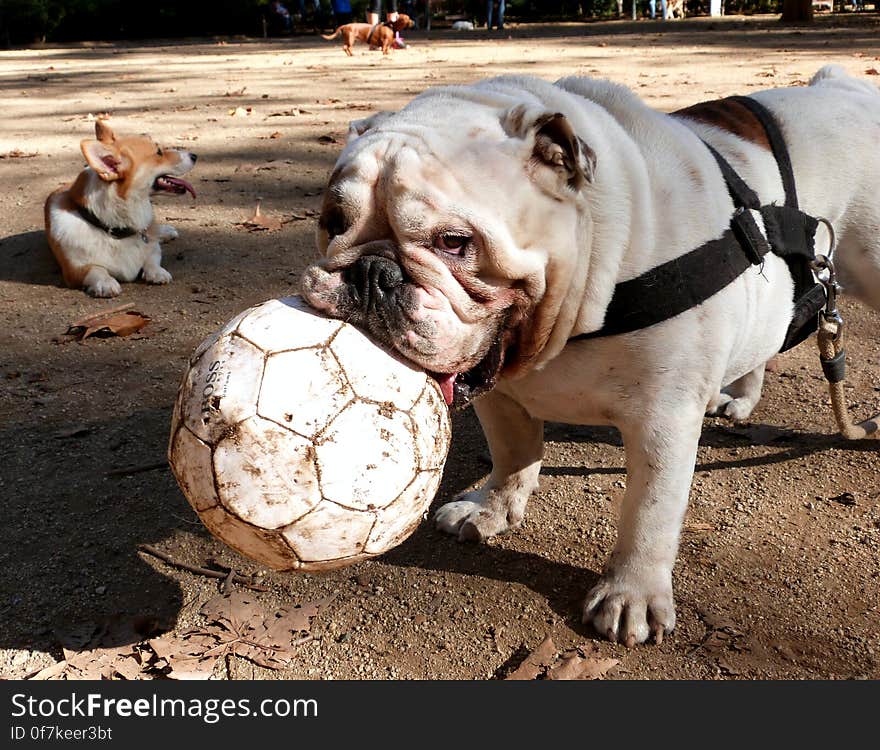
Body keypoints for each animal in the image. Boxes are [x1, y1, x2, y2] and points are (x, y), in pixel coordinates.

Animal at [45, 120, 198, 296]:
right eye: (159, 152)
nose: (195, 156)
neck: (113, 229)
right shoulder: (74, 269)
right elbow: (96, 269)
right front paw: (106, 282)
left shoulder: (152, 246)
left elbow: (152, 256)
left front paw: (157, 272)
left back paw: (166, 231)